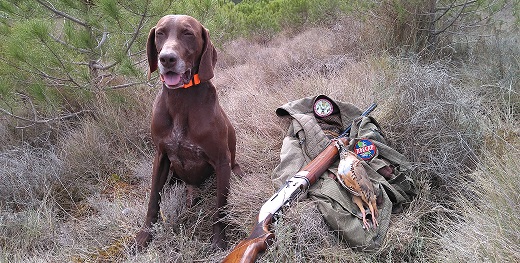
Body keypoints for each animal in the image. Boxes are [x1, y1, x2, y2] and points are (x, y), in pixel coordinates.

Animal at [135, 14, 243, 252]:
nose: (167, 59)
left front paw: (219, 241)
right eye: (160, 33)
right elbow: (153, 199)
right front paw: (144, 235)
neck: (180, 101)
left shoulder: (221, 161)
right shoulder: (161, 156)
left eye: (188, 33)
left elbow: (220, 207)